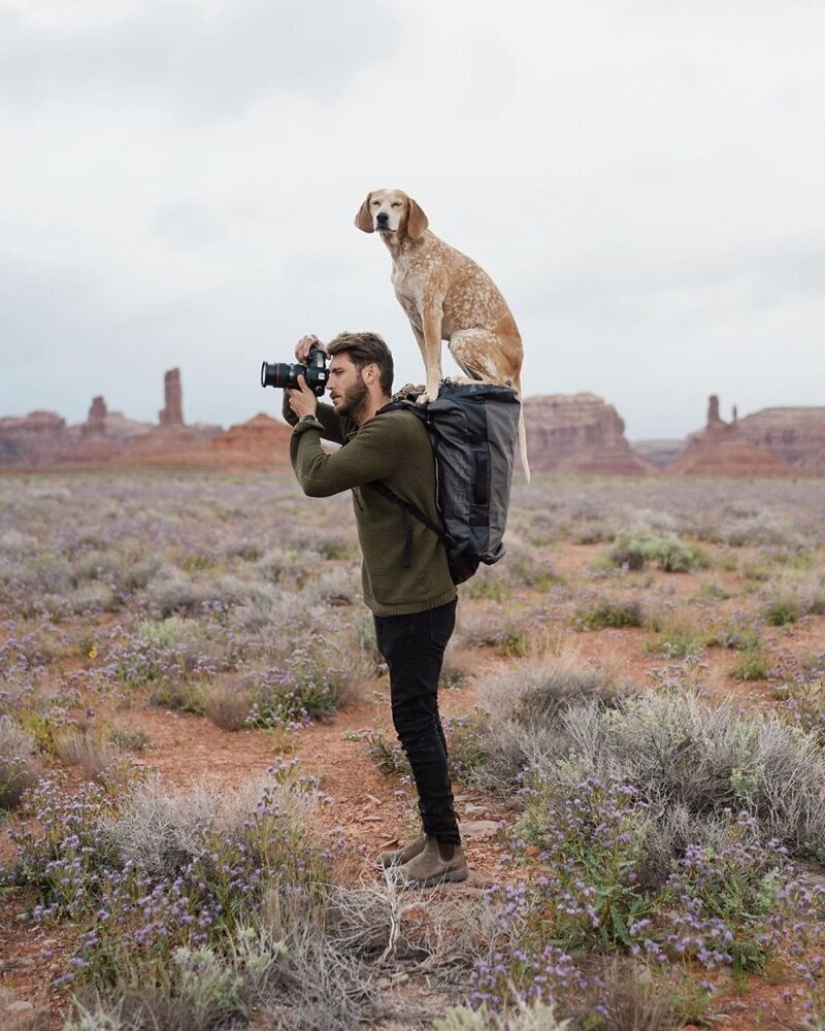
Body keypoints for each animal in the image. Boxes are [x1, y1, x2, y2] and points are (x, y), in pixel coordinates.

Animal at [352, 187, 528, 480]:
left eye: (397, 204)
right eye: (376, 203)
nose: (382, 217)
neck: (403, 251)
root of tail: (519, 365)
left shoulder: (431, 312)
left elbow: (434, 366)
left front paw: (430, 395)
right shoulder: (415, 320)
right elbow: (429, 362)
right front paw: (425, 389)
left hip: (462, 339)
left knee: (497, 382)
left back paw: (458, 380)